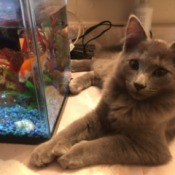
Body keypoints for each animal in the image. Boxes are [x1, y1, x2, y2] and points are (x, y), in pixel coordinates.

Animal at [29, 15, 175, 169]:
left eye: (160, 72)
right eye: (134, 64)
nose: (139, 84)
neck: (128, 102)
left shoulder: (150, 148)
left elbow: (104, 145)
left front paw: (70, 155)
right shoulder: (99, 115)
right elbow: (71, 129)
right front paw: (44, 149)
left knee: (94, 71)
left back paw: (69, 81)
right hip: (108, 68)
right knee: (92, 63)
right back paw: (58, 72)